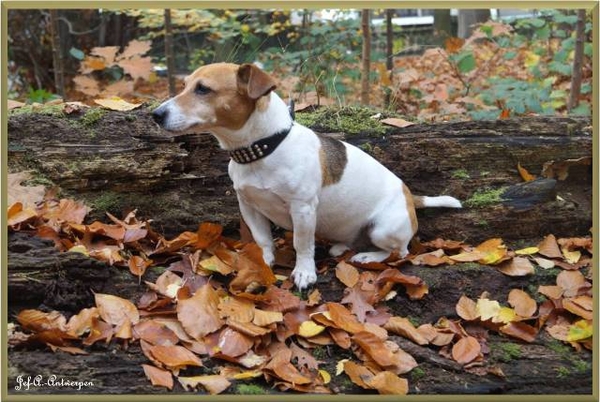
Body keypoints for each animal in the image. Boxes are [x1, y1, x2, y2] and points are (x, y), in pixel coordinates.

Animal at [152, 62, 462, 288]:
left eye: (203, 89)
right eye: (185, 86)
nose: (156, 114)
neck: (263, 149)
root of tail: (410, 197)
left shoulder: (302, 209)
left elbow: (302, 244)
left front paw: (304, 272)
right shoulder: (249, 206)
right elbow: (262, 239)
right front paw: (263, 261)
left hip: (383, 229)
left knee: (401, 252)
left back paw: (367, 255)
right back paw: (341, 247)